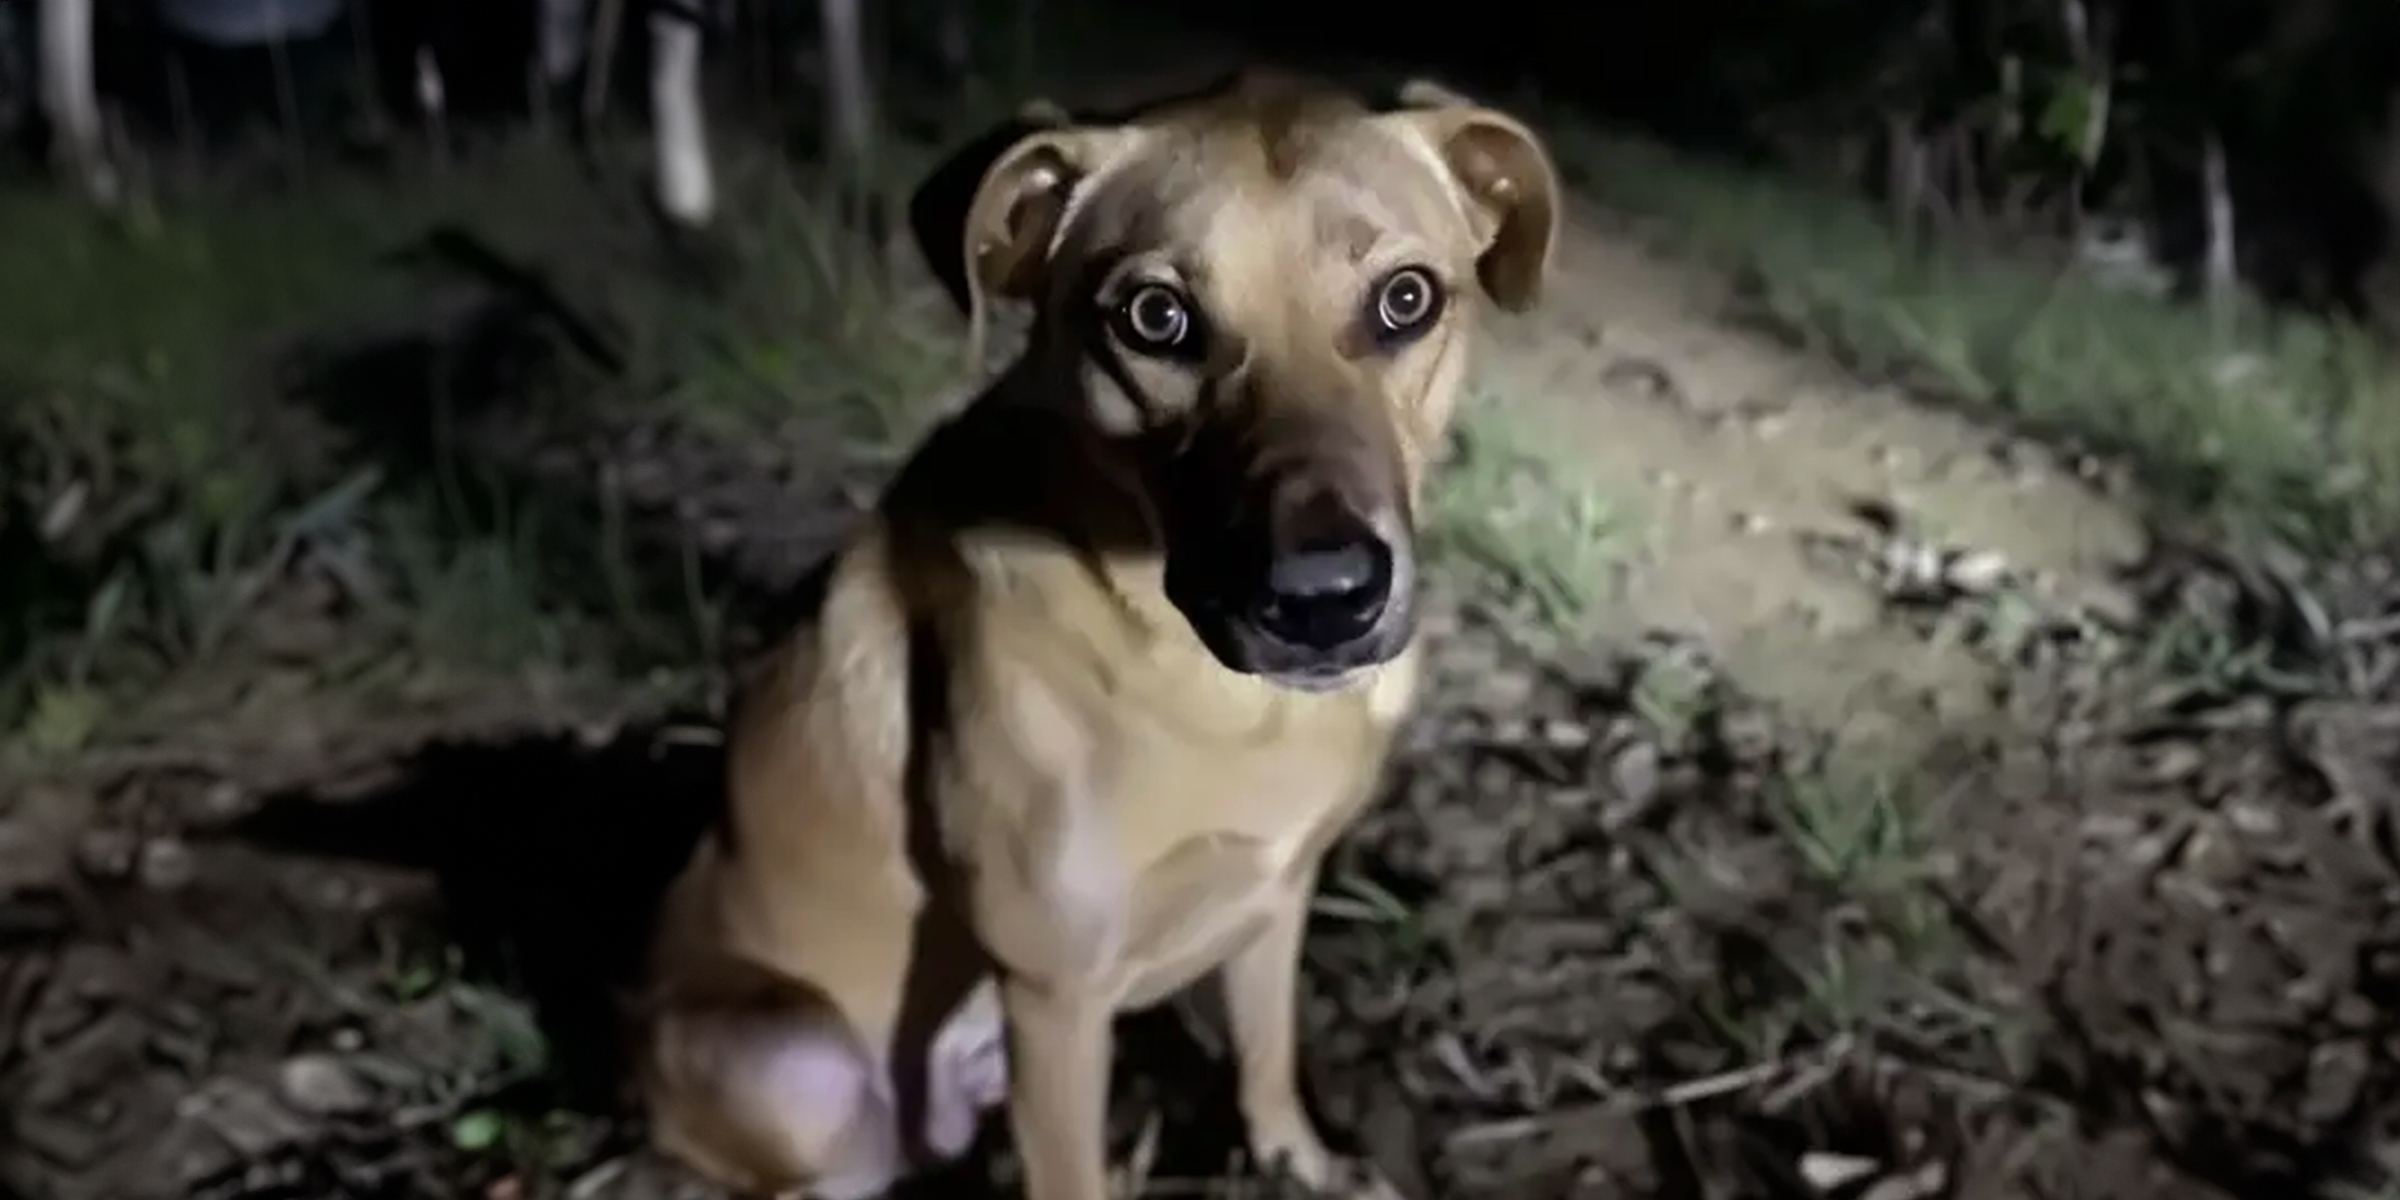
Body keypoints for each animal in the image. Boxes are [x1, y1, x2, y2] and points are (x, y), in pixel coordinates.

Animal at [638, 68, 1564, 1200]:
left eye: (1406, 299)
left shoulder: (1276, 898)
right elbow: (1074, 1166)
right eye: (1155, 316)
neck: (1222, 701)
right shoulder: (1055, 996)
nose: (1322, 600)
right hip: (794, 1062)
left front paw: (1296, 1160)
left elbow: (1267, 1057)